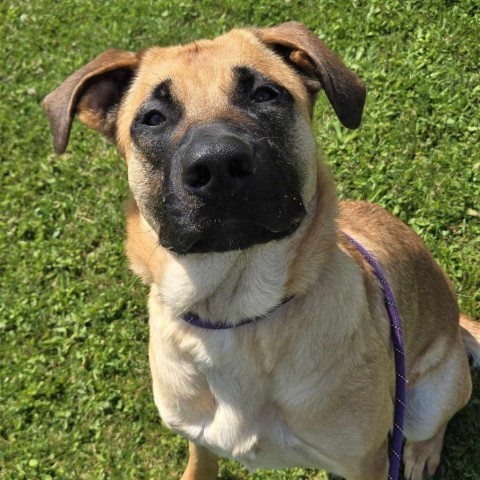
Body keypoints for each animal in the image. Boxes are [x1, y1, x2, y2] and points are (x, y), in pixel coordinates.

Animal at [43, 21, 478, 480]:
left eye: (265, 94)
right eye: (153, 118)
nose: (217, 165)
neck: (236, 317)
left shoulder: (366, 463)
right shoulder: (199, 439)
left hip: (428, 396)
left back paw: (420, 454)